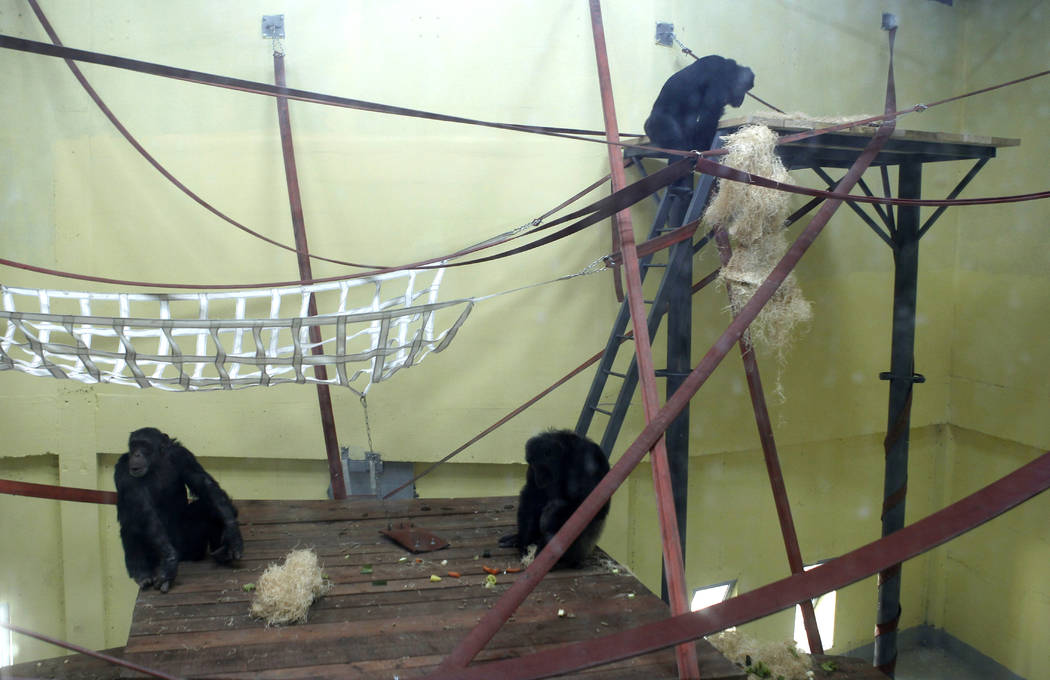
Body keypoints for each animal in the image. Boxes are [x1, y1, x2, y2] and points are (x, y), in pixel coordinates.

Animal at [114, 428, 243, 591]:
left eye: (144, 445)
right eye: (133, 445)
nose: (136, 454)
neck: (156, 465)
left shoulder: (183, 457)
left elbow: (205, 484)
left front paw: (233, 534)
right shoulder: (124, 471)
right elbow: (145, 511)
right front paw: (170, 562)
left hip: (193, 547)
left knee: (208, 507)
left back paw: (222, 552)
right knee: (131, 523)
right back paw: (142, 574)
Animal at [497, 430, 613, 566]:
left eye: (540, 466)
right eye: (532, 465)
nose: (538, 476)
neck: (566, 461)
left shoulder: (591, 460)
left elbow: (595, 505)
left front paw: (551, 515)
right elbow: (532, 494)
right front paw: (523, 540)